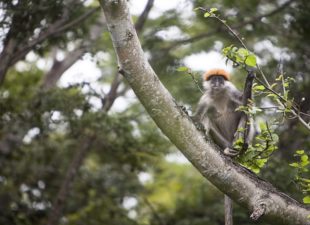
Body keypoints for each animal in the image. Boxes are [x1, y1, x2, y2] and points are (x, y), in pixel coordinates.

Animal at [193, 68, 256, 225]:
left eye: (220, 79)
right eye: (214, 79)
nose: (217, 82)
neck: (218, 94)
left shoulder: (230, 90)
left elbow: (245, 103)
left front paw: (249, 79)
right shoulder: (205, 99)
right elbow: (198, 116)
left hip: (236, 137)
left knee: (245, 113)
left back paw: (243, 147)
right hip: (224, 141)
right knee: (207, 117)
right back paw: (227, 151)